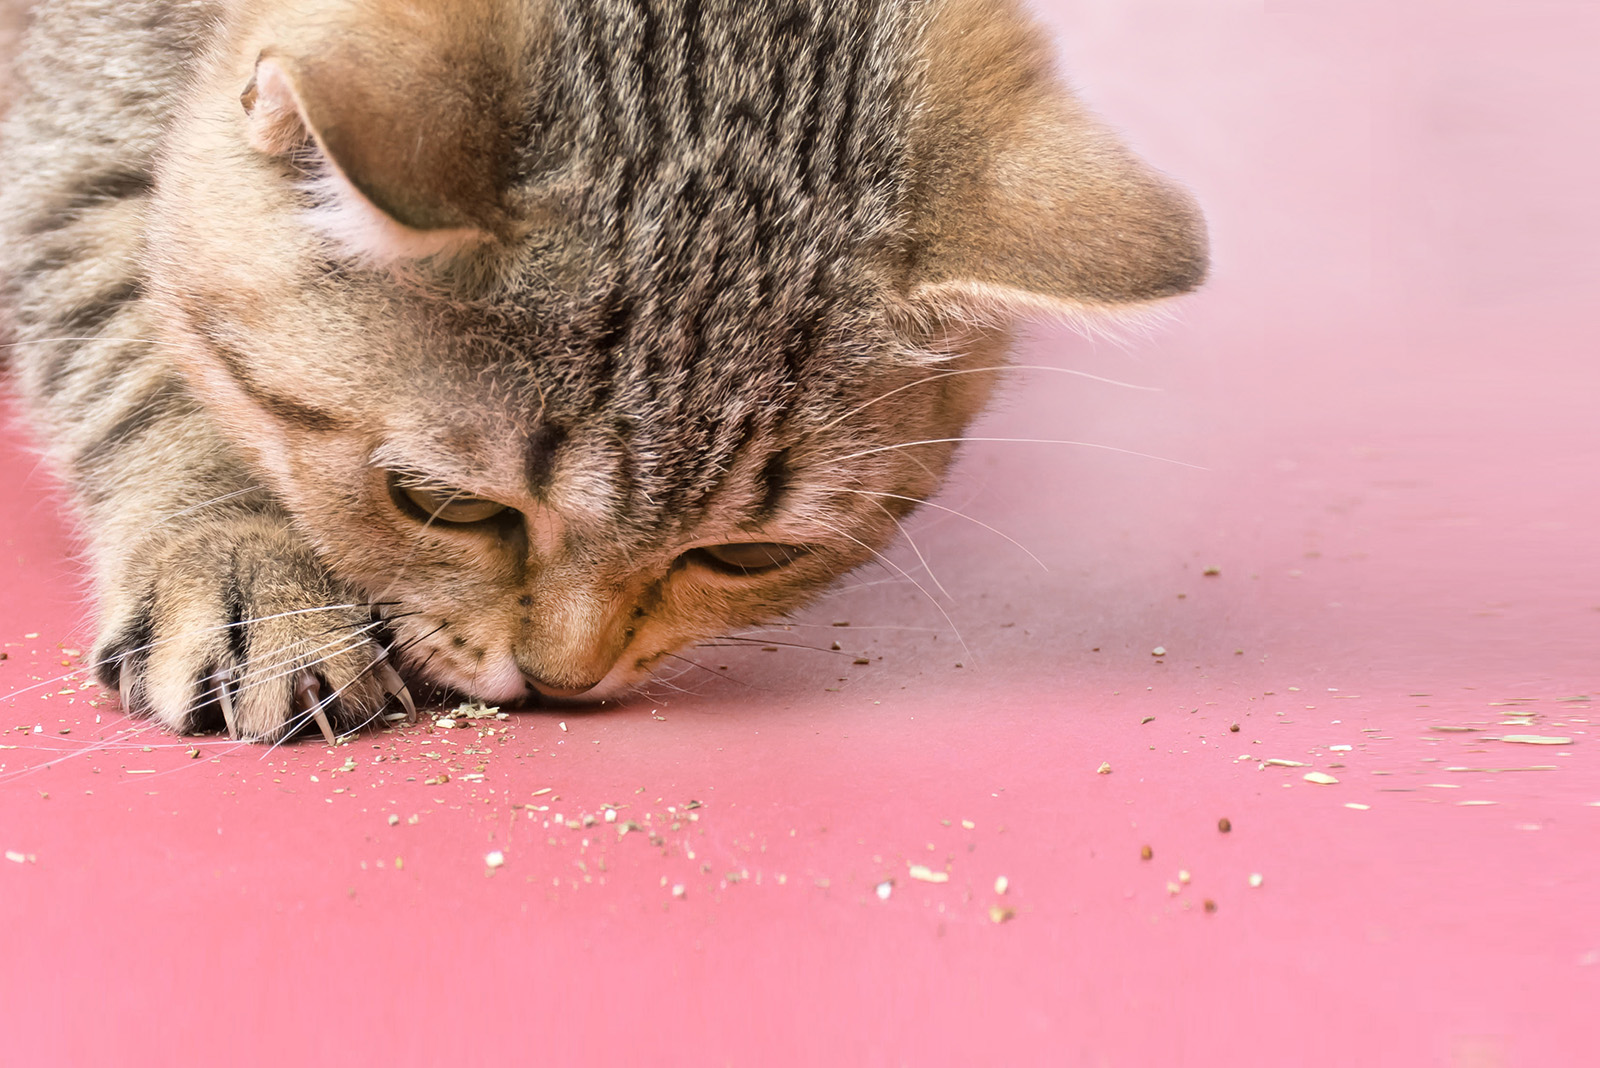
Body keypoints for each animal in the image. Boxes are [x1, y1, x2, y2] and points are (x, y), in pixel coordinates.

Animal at [0, 0, 1203, 741]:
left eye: (751, 554)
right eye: (440, 504)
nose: (558, 682)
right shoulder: (66, 133)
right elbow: (132, 332)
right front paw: (242, 561)